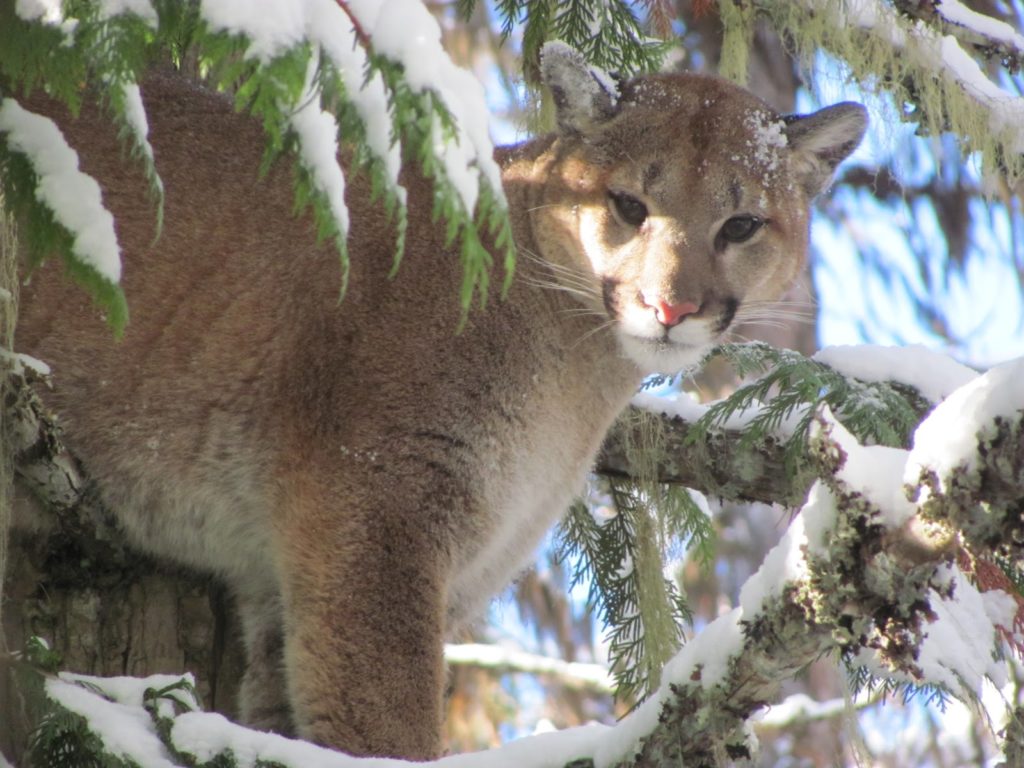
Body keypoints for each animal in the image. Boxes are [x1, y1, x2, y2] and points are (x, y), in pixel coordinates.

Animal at [12, 45, 868, 761]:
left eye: (742, 224)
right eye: (629, 205)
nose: (671, 307)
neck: (578, 372)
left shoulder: (309, 577)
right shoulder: (375, 514)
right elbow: (382, 730)